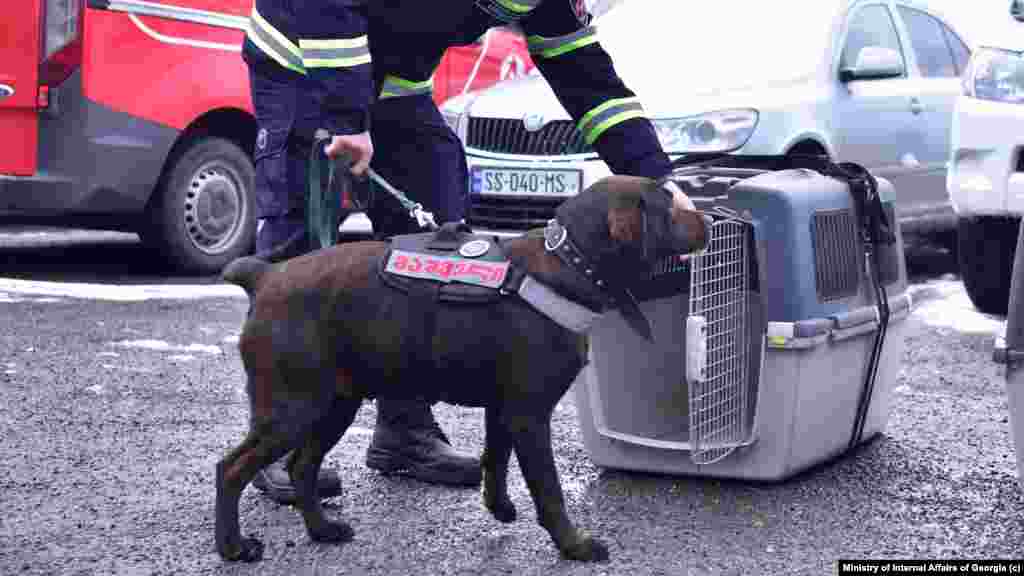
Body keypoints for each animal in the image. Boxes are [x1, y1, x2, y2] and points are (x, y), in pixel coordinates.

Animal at [216, 174, 708, 561]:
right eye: (669, 208)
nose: (705, 219)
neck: (567, 262)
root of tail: (265, 276)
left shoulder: (503, 408)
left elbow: (496, 459)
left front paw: (499, 506)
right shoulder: (529, 414)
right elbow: (548, 490)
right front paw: (574, 545)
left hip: (335, 404)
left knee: (302, 467)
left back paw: (322, 530)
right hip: (293, 408)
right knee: (232, 468)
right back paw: (234, 547)